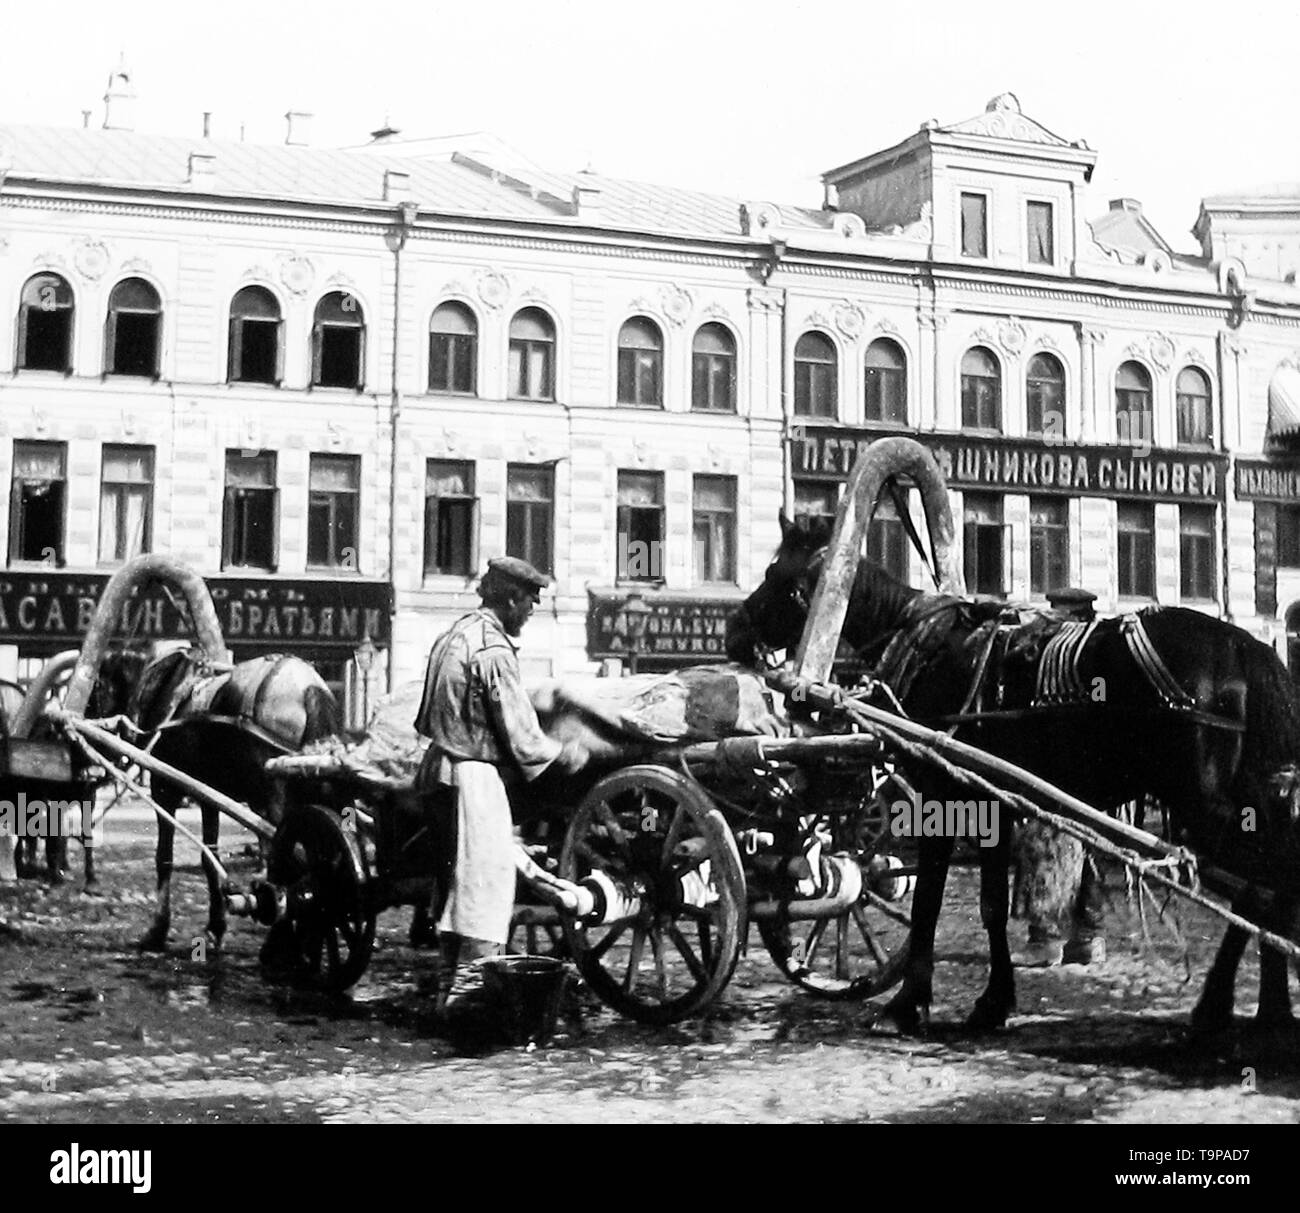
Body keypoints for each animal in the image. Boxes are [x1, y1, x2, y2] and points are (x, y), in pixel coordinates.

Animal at [100, 647, 345, 951]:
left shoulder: (165, 788)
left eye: (99, 685)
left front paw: (158, 929)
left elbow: (165, 857)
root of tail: (308, 686)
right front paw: (216, 927)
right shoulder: (207, 795)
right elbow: (210, 858)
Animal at [728, 436, 1300, 1029]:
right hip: (1250, 798)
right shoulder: (993, 806)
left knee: (1261, 888)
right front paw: (993, 1000)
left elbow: (930, 899)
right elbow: (991, 906)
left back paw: (1222, 1006)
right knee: (1273, 887)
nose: (734, 630)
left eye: (776, 573)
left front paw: (910, 1001)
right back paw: (1266, 1008)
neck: (922, 639)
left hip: (1206, 805)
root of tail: (1244, 646)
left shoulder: (944, 797)